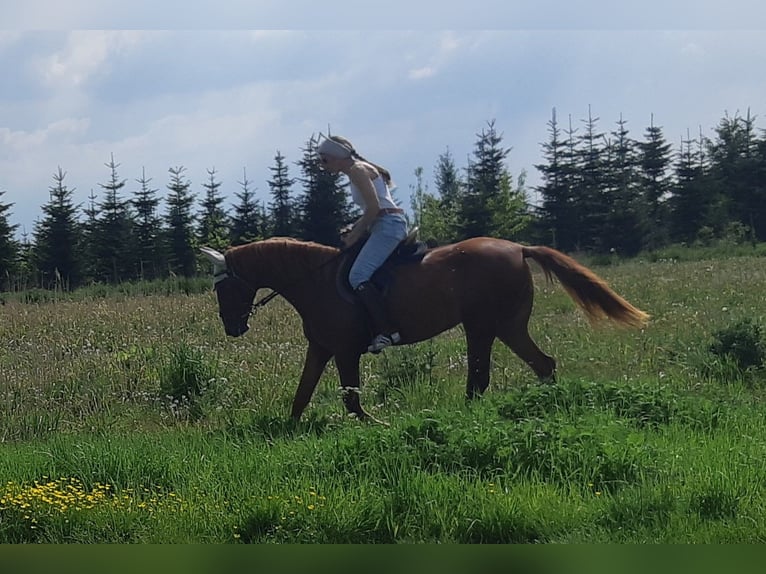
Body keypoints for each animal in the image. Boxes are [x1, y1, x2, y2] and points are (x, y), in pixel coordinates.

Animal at [201, 237, 652, 424]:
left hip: (484, 325)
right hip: (504, 326)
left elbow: (352, 401)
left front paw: (378, 426)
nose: (232, 328)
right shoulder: (322, 348)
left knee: (485, 377)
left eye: (224, 285)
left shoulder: (345, 350)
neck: (315, 281)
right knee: (538, 365)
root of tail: (518, 248)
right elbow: (301, 396)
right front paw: (289, 432)